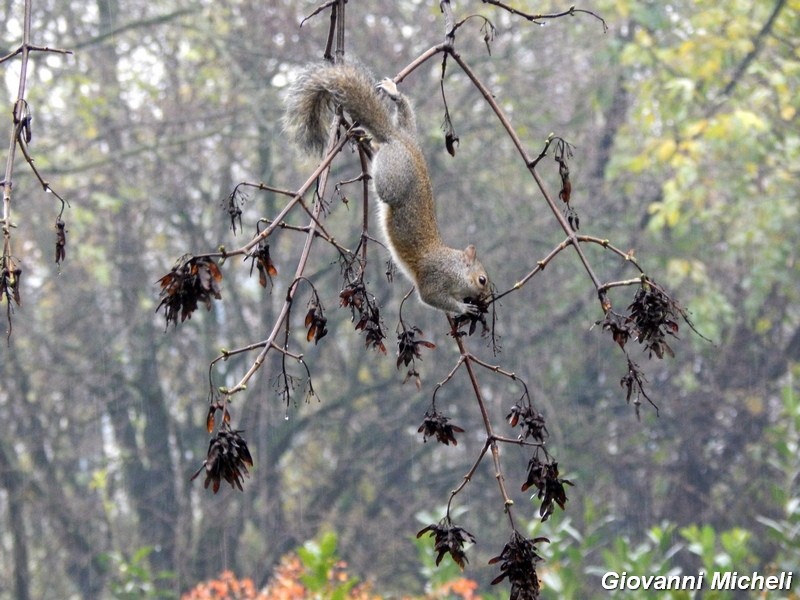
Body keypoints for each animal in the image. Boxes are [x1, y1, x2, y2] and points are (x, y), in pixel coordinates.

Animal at [284, 61, 490, 316]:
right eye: (482, 280)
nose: (486, 299)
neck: (454, 266)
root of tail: (400, 141)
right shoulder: (434, 279)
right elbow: (431, 297)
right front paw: (464, 308)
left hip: (409, 134)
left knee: (406, 115)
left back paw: (393, 95)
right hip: (394, 176)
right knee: (385, 185)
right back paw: (369, 147)